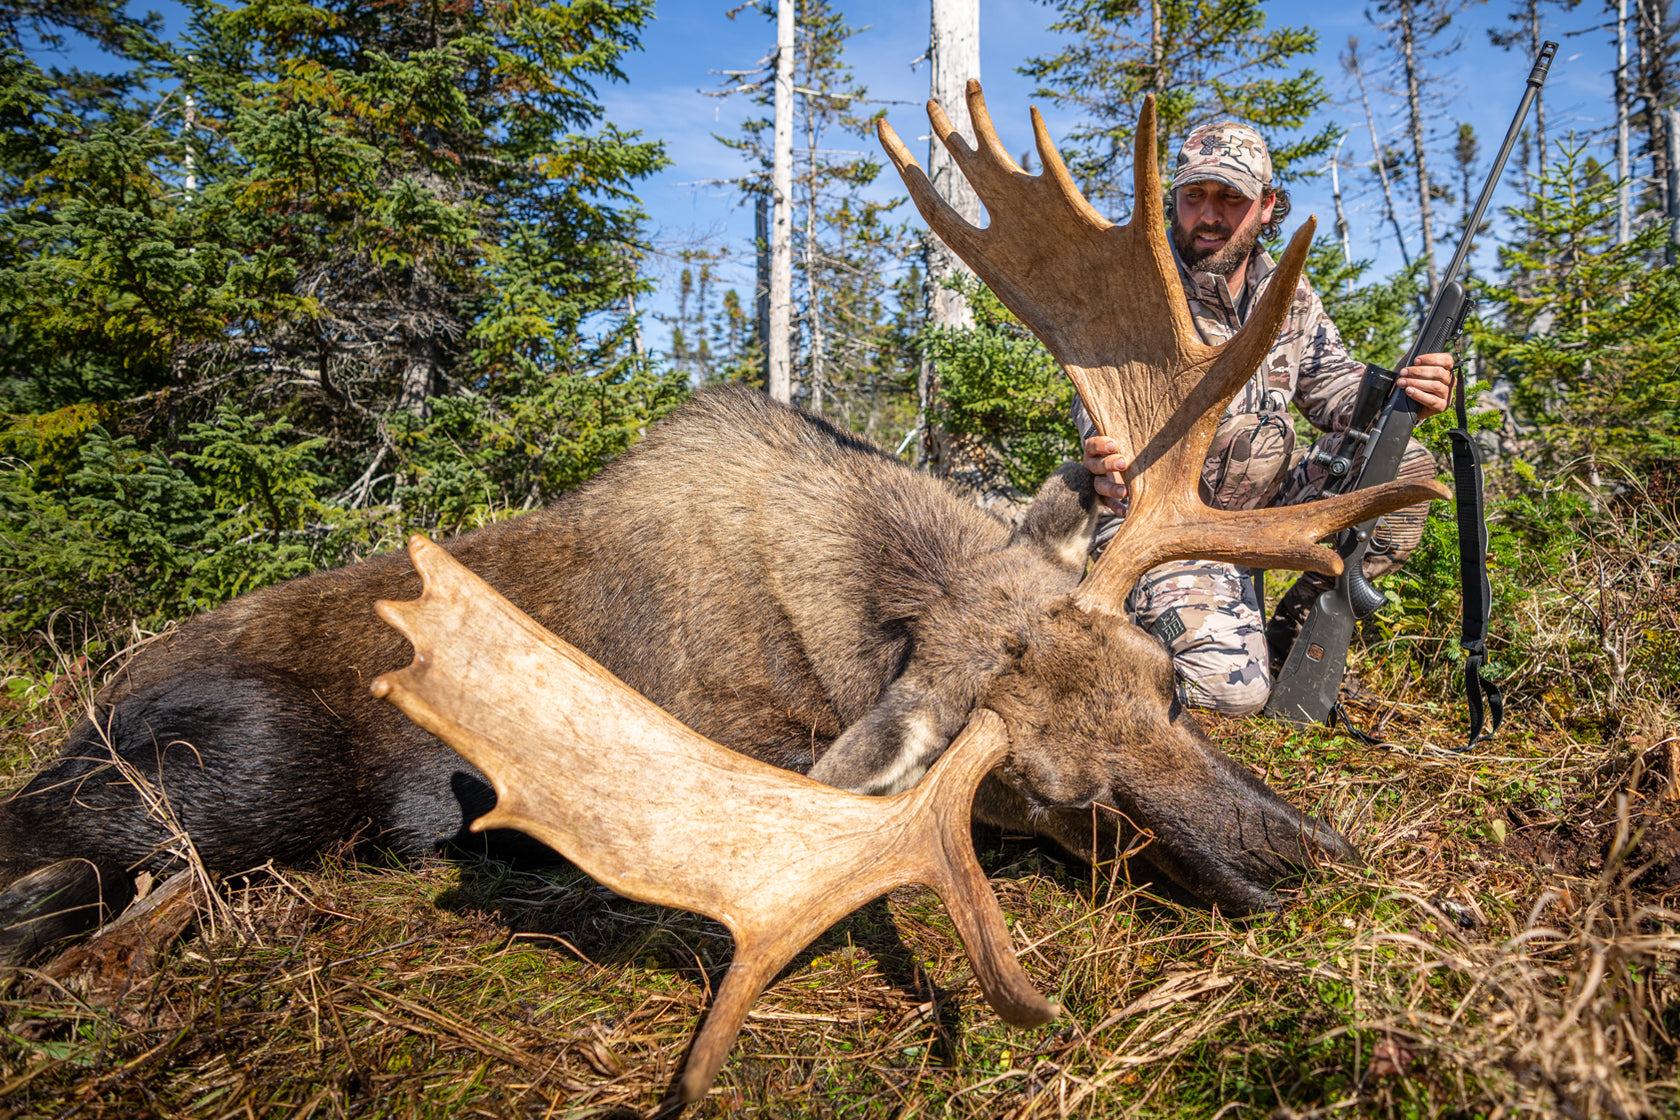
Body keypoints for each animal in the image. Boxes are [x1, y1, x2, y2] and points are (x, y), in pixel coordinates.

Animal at [3, 87, 1444, 1027]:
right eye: (1056, 796)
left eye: (1170, 684)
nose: (1315, 862)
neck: (866, 606)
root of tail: (88, 708)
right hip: (242, 757)